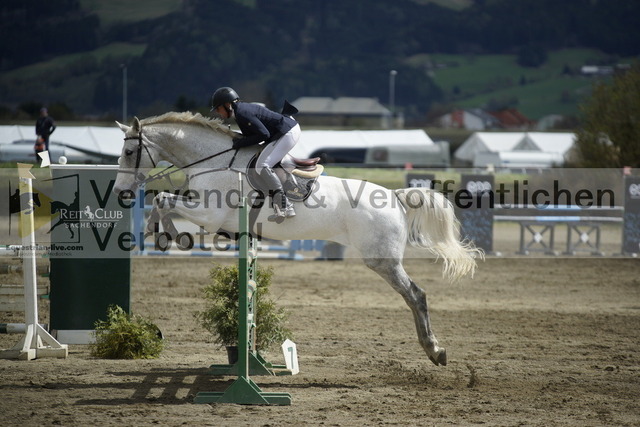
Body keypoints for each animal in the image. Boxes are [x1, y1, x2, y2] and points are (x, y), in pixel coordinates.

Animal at [115, 112, 480, 366]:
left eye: (130, 151)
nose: (120, 192)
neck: (214, 161)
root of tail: (394, 196)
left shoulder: (209, 214)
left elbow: (164, 199)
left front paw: (170, 235)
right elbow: (162, 200)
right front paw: (158, 232)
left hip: (381, 259)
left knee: (415, 295)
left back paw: (435, 350)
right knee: (414, 295)